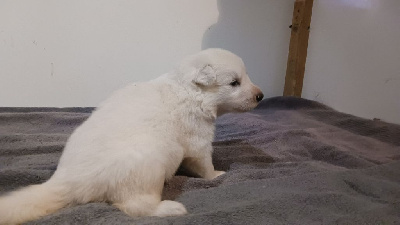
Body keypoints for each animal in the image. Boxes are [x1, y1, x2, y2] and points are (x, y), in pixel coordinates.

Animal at [0, 48, 262, 223]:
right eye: (234, 82)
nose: (260, 95)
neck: (189, 90)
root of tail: (68, 182)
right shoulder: (198, 138)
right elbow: (204, 163)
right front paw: (217, 175)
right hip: (147, 167)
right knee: (136, 207)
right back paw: (171, 209)